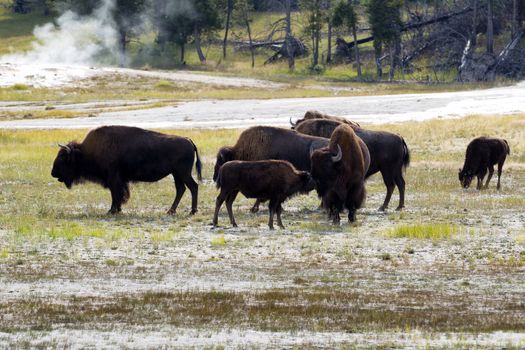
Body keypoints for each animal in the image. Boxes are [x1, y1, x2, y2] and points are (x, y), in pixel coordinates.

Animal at [51, 124, 202, 215]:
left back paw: (192, 211)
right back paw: (171, 211)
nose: (53, 173)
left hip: (183, 173)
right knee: (181, 189)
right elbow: (118, 194)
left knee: (193, 187)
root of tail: (189, 140)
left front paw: (112, 210)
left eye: (62, 158)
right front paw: (117, 209)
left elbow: (115, 194)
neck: (84, 152)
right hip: (176, 174)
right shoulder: (119, 180)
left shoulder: (113, 179)